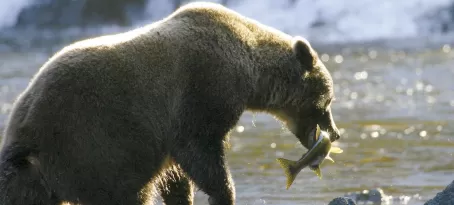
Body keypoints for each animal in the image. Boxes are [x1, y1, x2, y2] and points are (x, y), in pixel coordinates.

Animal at [0, 2, 340, 205]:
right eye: (327, 100)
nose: (335, 133)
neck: (250, 72)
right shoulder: (202, 89)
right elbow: (200, 152)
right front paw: (223, 194)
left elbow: (176, 174)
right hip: (93, 143)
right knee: (124, 192)